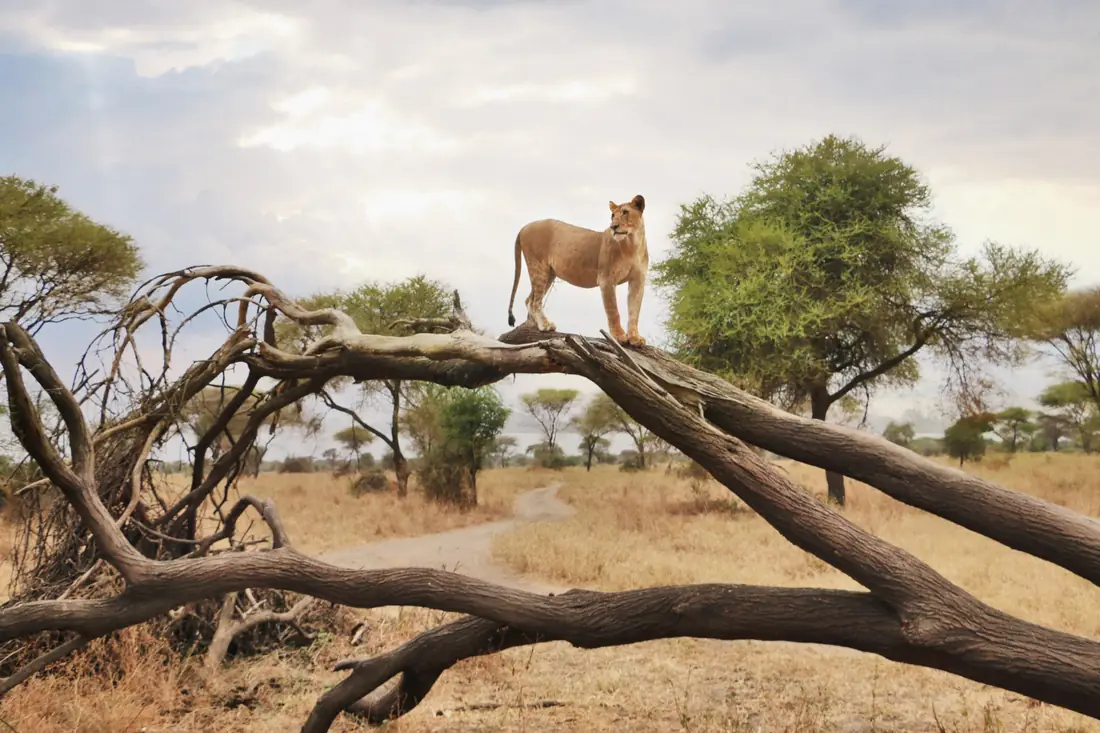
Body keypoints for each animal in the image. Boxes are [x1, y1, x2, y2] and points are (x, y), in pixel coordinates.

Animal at [506, 194, 649, 346]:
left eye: (625, 212)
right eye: (612, 215)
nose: (613, 227)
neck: (632, 244)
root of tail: (524, 227)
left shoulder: (638, 281)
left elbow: (634, 311)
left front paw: (635, 338)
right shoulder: (606, 279)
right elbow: (613, 310)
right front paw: (619, 336)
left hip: (549, 274)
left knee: (529, 300)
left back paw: (534, 326)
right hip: (538, 268)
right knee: (534, 301)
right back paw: (545, 325)